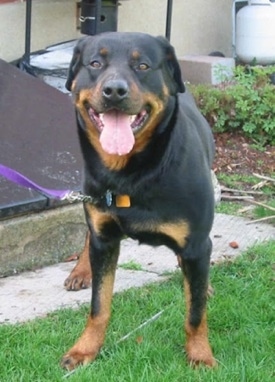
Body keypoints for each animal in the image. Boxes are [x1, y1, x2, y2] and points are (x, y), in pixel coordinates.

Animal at [61, 32, 217, 370]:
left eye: (143, 65)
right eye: (95, 63)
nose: (114, 90)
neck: (131, 174)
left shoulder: (197, 244)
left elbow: (195, 312)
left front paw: (200, 355)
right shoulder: (104, 237)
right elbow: (99, 305)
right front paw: (85, 349)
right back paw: (81, 271)